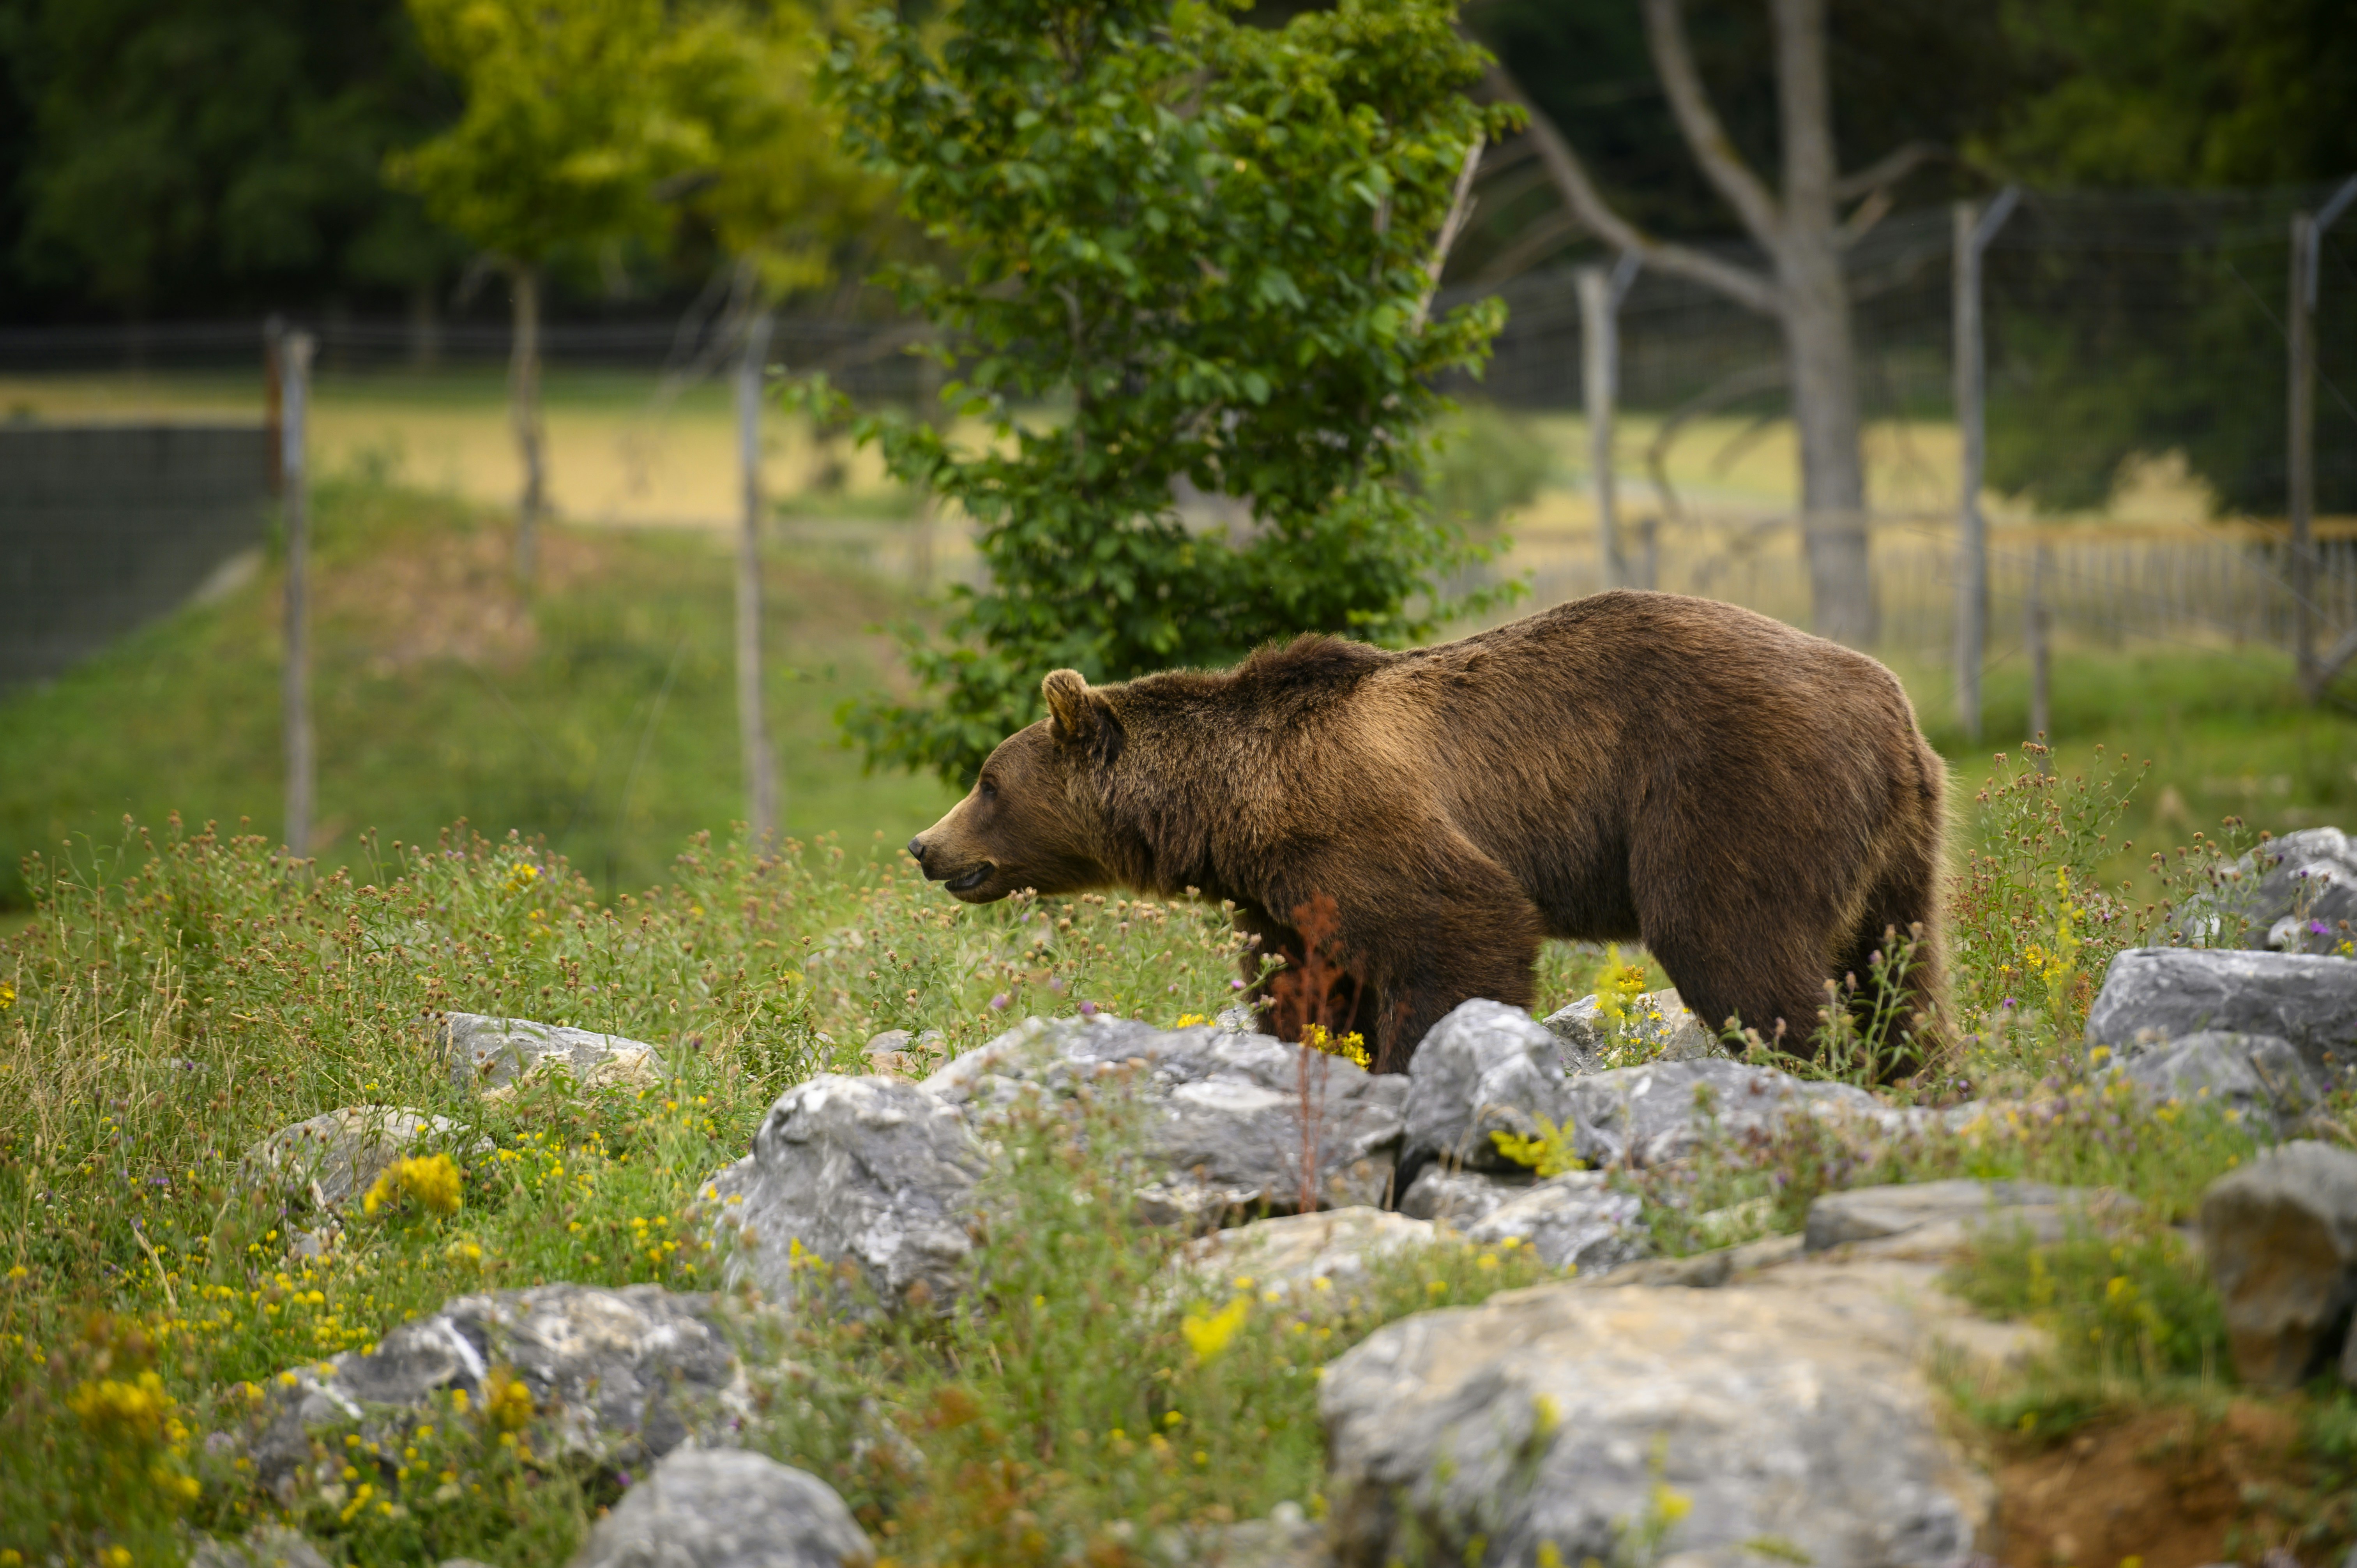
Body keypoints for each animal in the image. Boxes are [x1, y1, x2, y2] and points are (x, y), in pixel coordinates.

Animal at [907, 590, 1948, 1074]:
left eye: (986, 780)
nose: (925, 845)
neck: (1230, 809)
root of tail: (1891, 702)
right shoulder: (1283, 891)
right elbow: (1302, 988)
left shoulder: (1362, 825)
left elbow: (1458, 930)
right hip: (1896, 848)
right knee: (1896, 969)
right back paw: (1917, 1070)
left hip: (1731, 785)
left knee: (1734, 945)